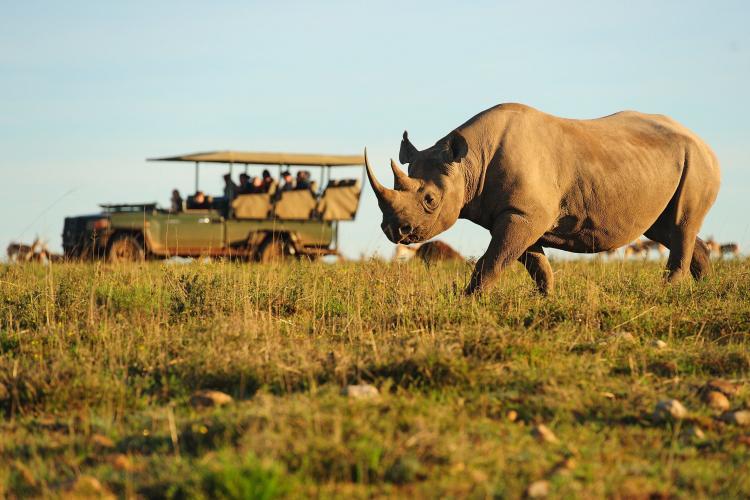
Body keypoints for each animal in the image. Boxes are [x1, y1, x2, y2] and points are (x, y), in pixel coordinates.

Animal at [365, 103, 720, 295]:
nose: (395, 231)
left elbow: (494, 259)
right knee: (665, 228)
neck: (468, 164)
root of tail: (703, 141)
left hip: (697, 162)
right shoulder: (518, 212)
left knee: (681, 224)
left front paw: (468, 300)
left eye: (429, 200)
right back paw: (704, 287)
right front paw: (546, 297)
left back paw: (668, 290)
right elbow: (531, 260)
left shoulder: (524, 214)